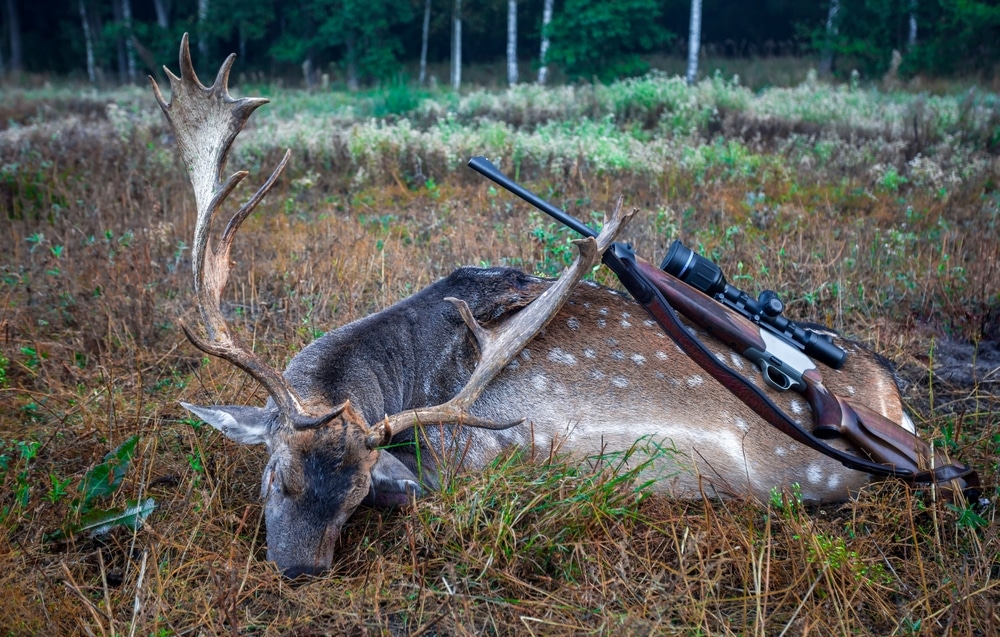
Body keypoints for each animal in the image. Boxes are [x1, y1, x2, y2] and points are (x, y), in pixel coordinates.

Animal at [154, 37, 928, 580]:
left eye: (358, 497)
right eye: (273, 477)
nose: (300, 570)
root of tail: (897, 403)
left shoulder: (479, 454)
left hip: (812, 472)